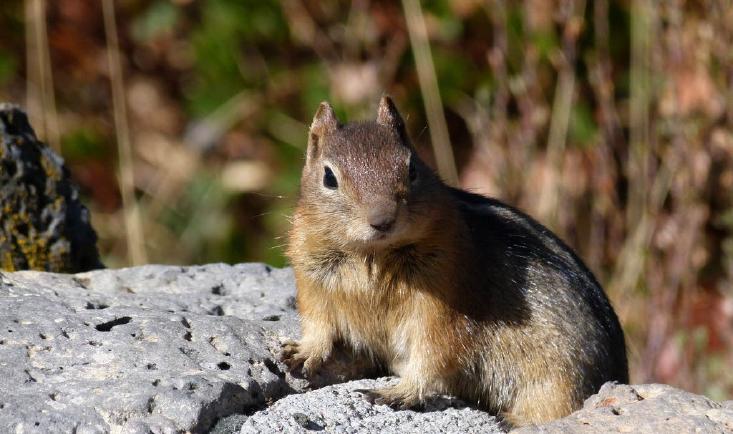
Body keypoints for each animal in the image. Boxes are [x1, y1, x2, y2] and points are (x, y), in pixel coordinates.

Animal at [282, 96, 628, 426]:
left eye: (412, 168)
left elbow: (433, 353)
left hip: (559, 380)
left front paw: (400, 391)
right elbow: (318, 323)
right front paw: (302, 351)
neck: (371, 255)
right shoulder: (311, 281)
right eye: (329, 177)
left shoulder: (445, 305)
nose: (382, 220)